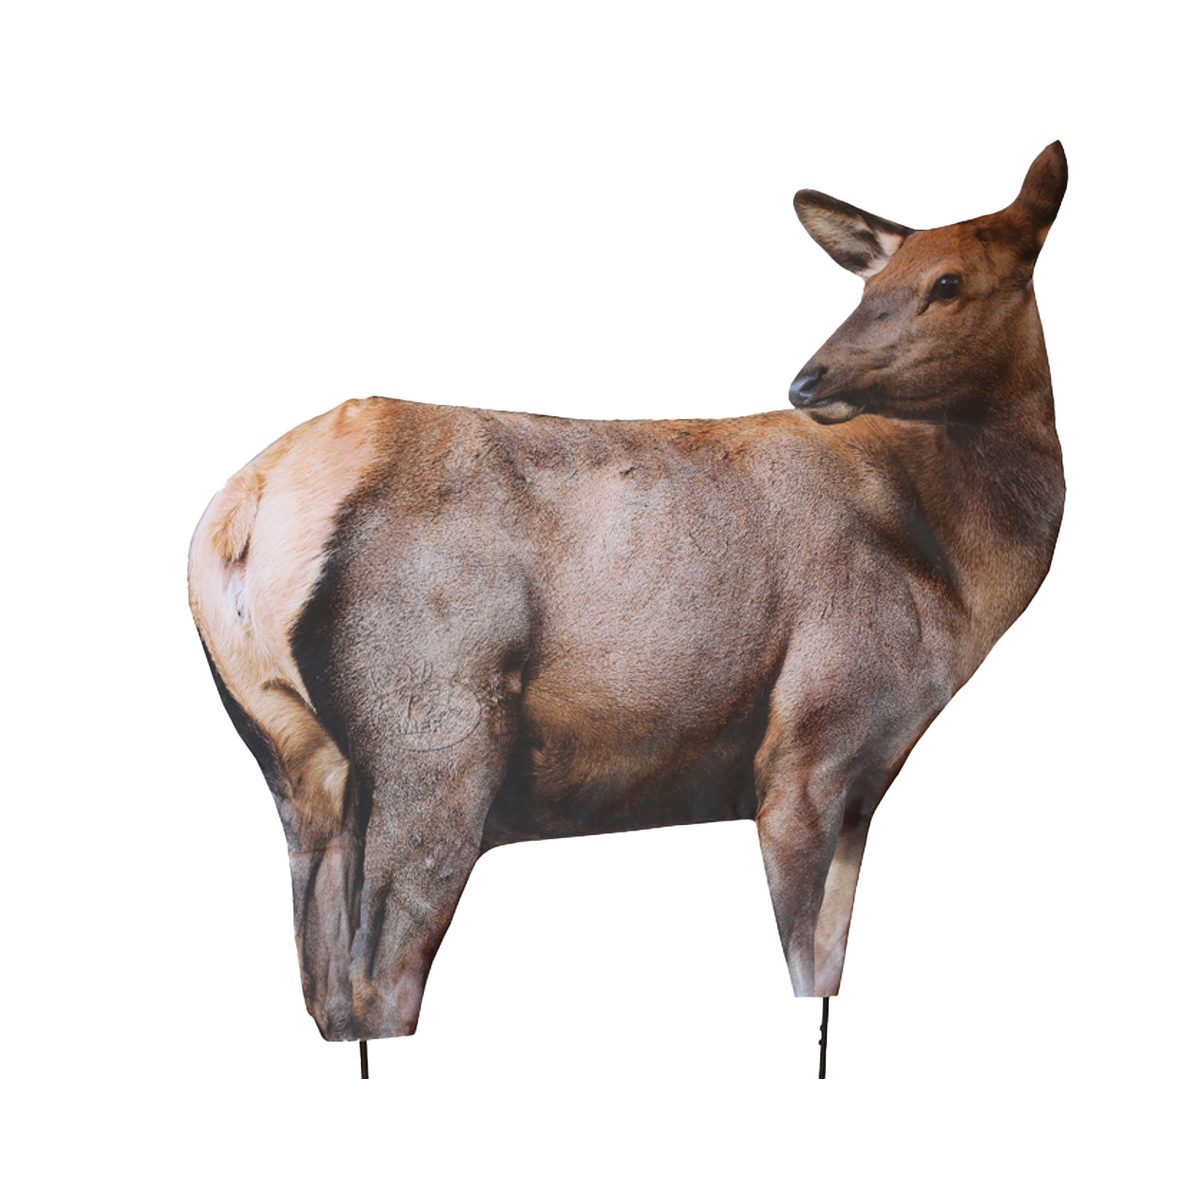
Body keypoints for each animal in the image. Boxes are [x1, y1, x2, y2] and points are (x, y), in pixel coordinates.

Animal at [189, 143, 1067, 1071]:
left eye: (947, 281)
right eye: (875, 283)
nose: (809, 379)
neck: (957, 578)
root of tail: (243, 511)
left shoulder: (865, 781)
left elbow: (829, 965)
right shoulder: (810, 743)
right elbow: (804, 966)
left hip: (293, 761)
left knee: (323, 986)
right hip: (434, 736)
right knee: (378, 982)